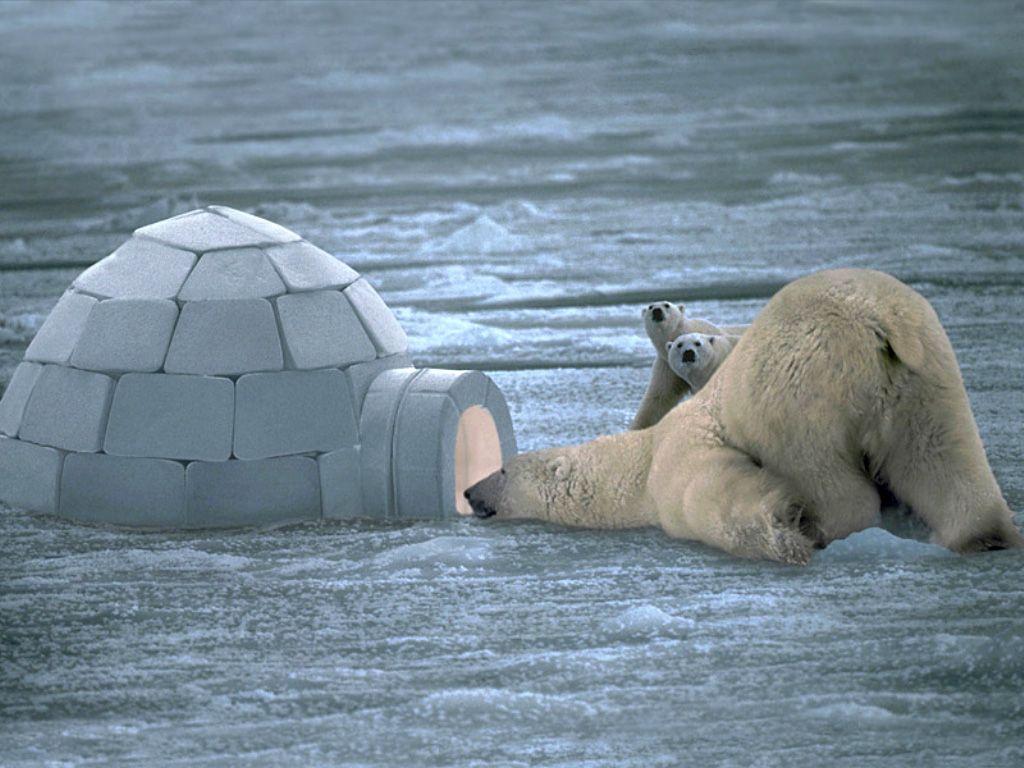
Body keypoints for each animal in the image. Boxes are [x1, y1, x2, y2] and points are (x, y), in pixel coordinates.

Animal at [466, 269, 1023, 564]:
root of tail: (878, 319)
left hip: (799, 387)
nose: (470, 492)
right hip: (925, 374)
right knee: (942, 455)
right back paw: (984, 534)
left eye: (502, 468)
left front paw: (783, 525)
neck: (639, 460)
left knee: (824, 469)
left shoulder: (679, 455)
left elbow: (711, 494)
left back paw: (826, 524)